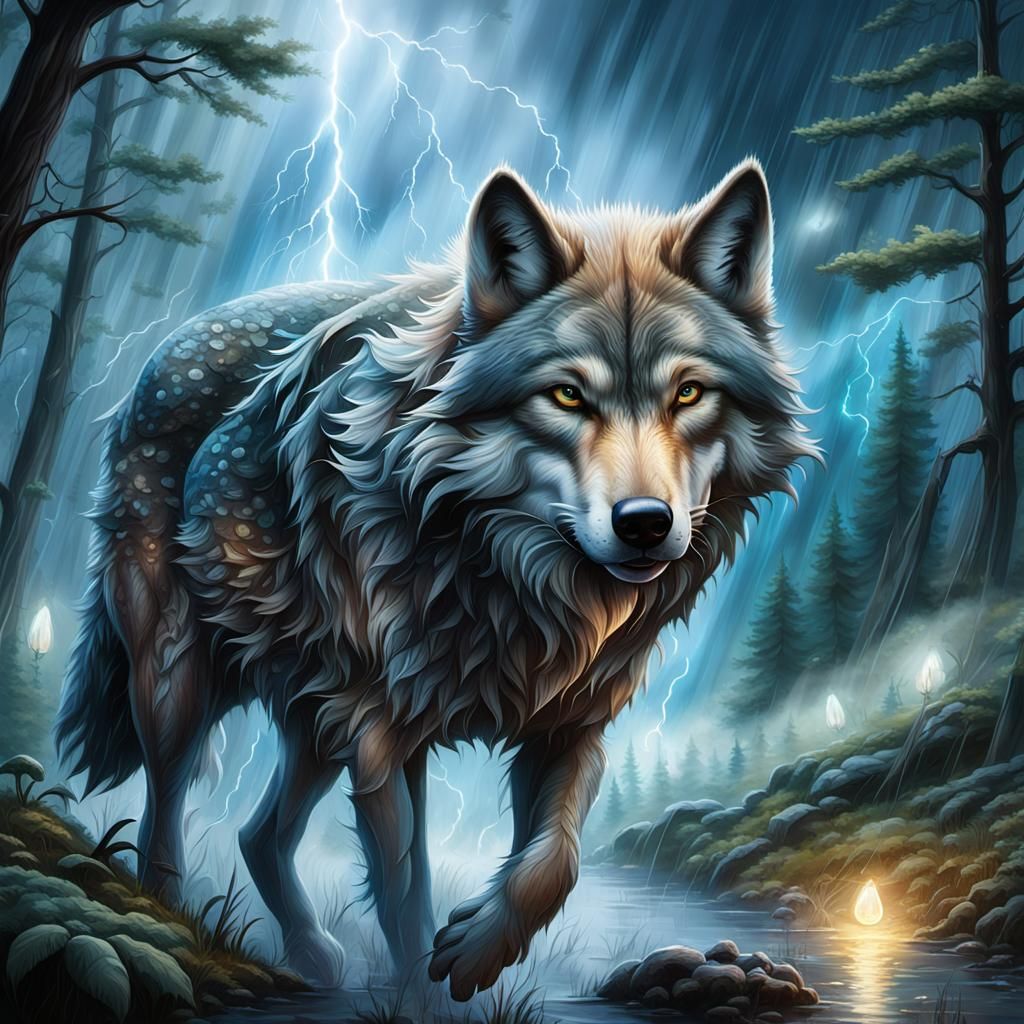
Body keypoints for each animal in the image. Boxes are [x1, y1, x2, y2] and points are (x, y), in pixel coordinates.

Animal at [57, 159, 814, 999]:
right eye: (567, 394)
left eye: (687, 392)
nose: (645, 523)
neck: (510, 580)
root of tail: (157, 358)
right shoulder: (386, 736)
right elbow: (402, 893)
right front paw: (424, 989)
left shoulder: (570, 725)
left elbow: (551, 865)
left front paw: (476, 950)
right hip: (182, 682)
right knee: (164, 807)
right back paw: (175, 918)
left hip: (317, 717)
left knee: (259, 834)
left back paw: (311, 955)